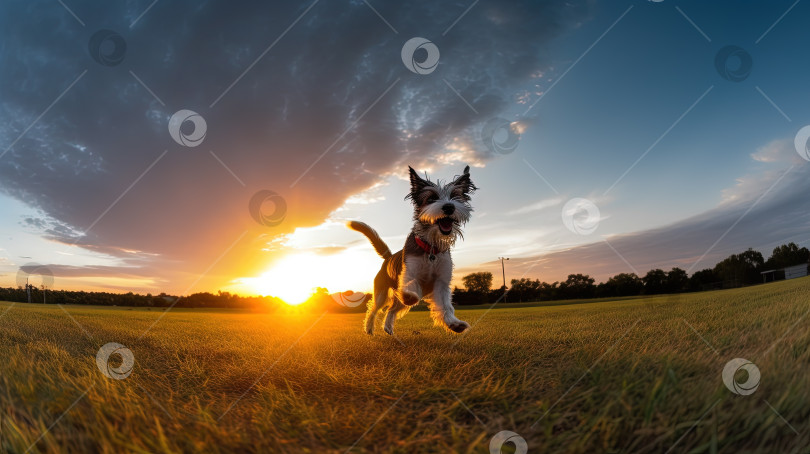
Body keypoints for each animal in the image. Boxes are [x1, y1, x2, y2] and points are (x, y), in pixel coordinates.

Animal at [346, 164, 474, 334]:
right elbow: (410, 284)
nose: (449, 207)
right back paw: (369, 328)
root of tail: (388, 257)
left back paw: (388, 327)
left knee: (391, 310)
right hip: (381, 293)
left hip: (397, 302)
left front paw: (454, 323)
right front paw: (409, 294)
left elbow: (446, 306)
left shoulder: (441, 281)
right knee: (374, 308)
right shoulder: (409, 273)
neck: (430, 250)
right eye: (431, 198)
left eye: (455, 197)